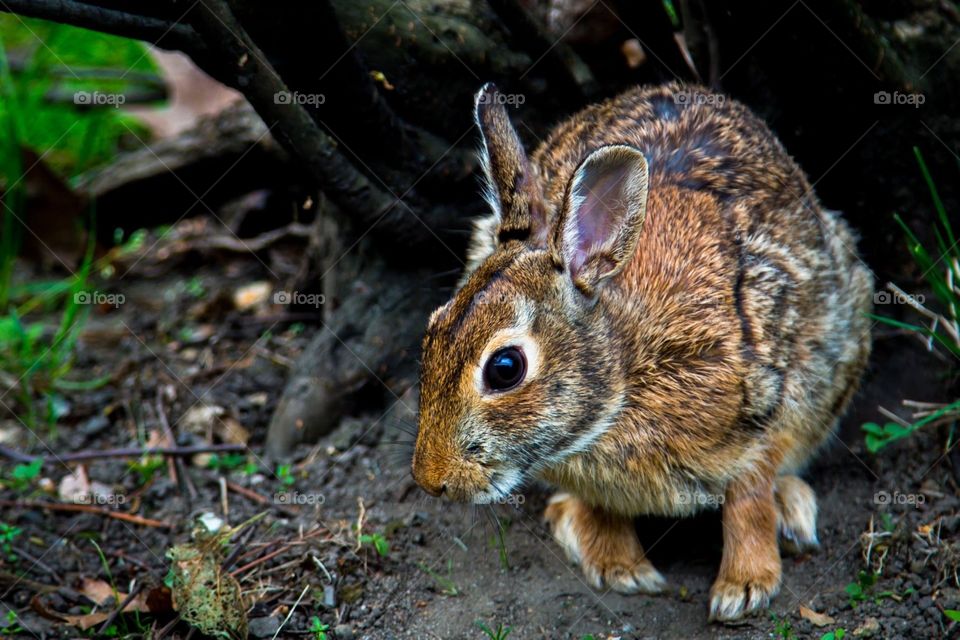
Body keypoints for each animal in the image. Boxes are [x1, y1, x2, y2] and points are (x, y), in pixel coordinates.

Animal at [412, 82, 873, 621]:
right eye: (433, 329)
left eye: (505, 368)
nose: (431, 480)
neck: (625, 370)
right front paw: (621, 569)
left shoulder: (768, 396)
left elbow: (749, 498)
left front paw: (744, 588)